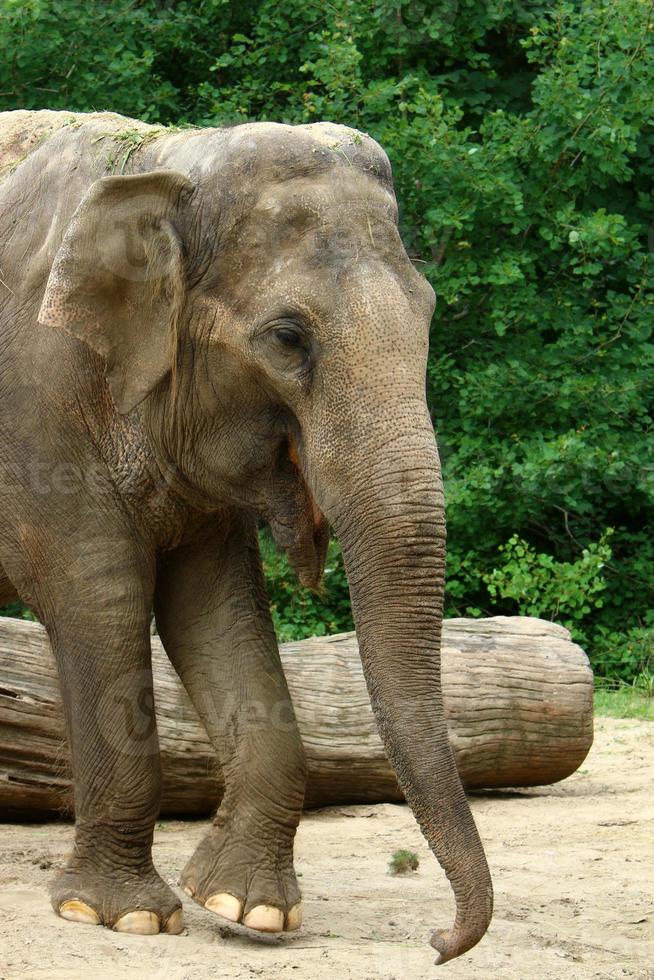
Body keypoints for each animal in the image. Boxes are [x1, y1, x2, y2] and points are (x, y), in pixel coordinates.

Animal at [0, 111, 492, 960]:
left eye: (428, 313)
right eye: (289, 338)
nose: (439, 939)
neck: (168, 160)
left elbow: (216, 613)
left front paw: (245, 907)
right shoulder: (38, 397)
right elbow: (101, 600)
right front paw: (120, 915)